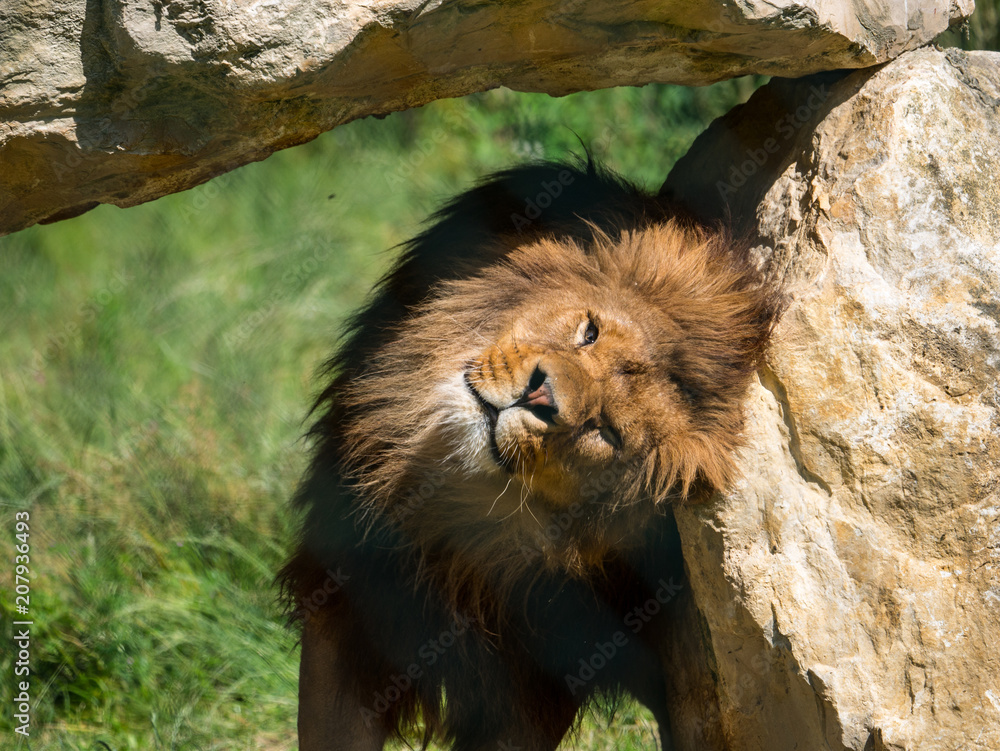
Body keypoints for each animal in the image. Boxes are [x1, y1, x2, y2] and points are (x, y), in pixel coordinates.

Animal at [279, 161, 782, 751]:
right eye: (589, 331)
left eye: (605, 432)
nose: (540, 397)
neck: (452, 534)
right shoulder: (348, 605)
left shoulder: (533, 685)